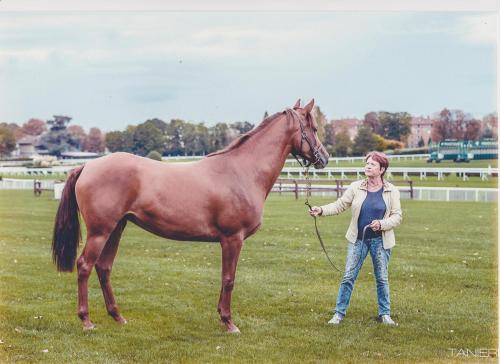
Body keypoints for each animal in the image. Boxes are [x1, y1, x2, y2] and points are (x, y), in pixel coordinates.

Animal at [52, 99, 330, 332]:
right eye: (315, 128)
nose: (325, 158)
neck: (241, 170)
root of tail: (87, 165)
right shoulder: (233, 238)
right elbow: (229, 278)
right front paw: (229, 323)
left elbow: (225, 278)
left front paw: (222, 316)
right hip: (100, 231)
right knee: (85, 266)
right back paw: (86, 320)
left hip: (116, 228)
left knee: (104, 267)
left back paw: (118, 316)